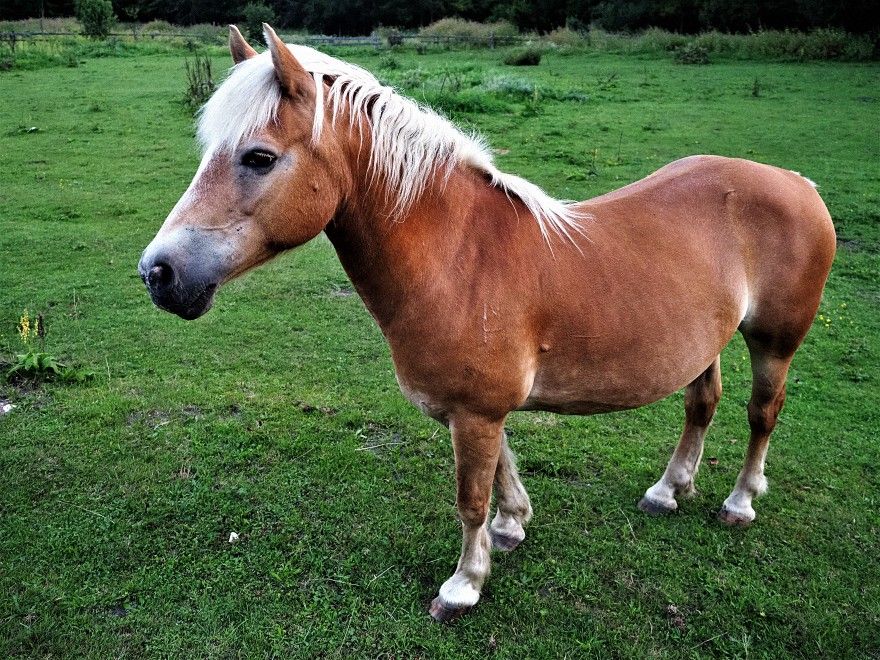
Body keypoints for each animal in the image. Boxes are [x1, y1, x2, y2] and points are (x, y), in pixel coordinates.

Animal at [139, 25, 840, 620]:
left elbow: (470, 496)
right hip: (704, 343)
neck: (458, 255)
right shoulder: (477, 408)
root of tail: (796, 182)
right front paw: (511, 528)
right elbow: (502, 469)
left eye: (258, 158)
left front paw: (464, 585)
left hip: (774, 341)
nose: (158, 272)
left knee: (762, 413)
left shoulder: (475, 411)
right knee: (702, 404)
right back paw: (669, 489)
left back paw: (740, 502)